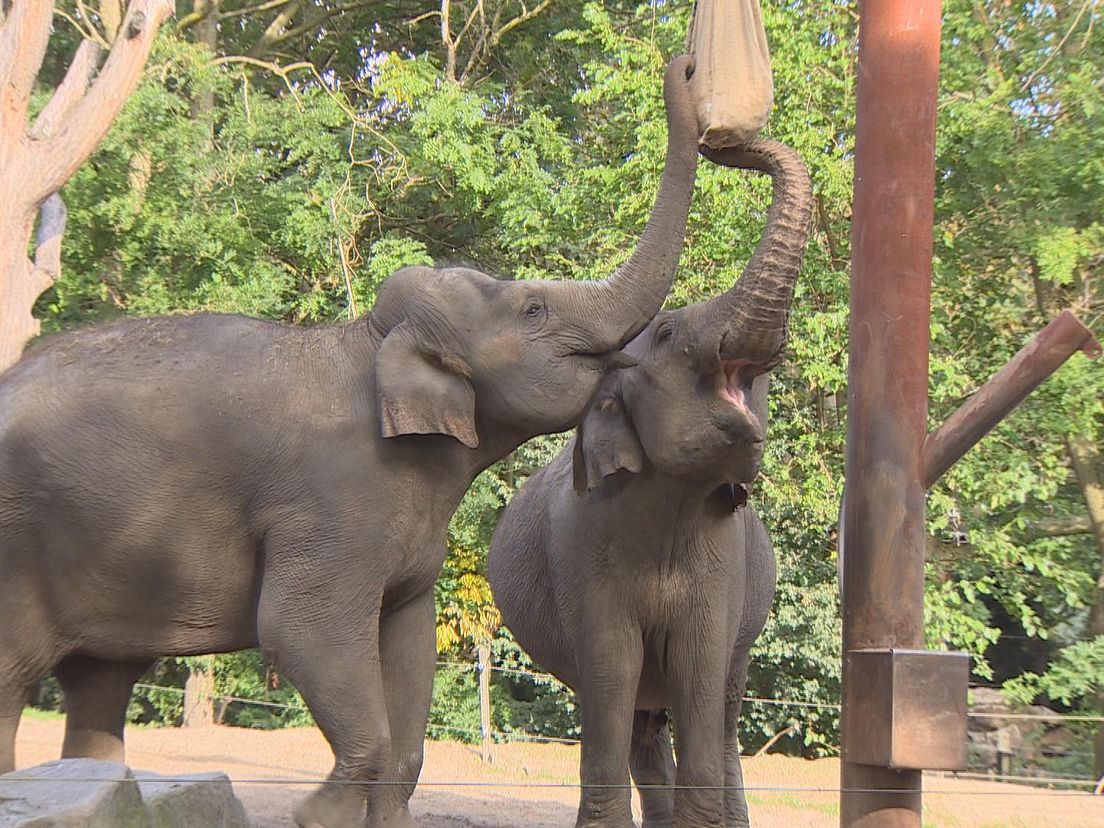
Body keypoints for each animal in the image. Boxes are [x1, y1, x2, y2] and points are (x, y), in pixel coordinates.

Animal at [0, 56, 702, 828]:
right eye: (534, 308)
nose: (686, 66)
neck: (367, 342)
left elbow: (409, 661)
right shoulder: (328, 508)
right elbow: (301, 630)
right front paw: (316, 810)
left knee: (100, 684)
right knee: (16, 677)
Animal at [487, 139, 816, 825]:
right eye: (666, 333)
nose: (726, 146)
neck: (672, 504)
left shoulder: (725, 563)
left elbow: (700, 668)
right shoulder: (583, 554)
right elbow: (611, 669)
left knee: (721, 711)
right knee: (639, 713)